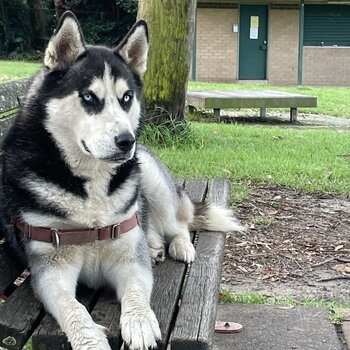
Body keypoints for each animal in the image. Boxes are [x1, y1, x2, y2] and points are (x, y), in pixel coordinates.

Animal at [1, 10, 242, 350]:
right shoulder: (50, 269)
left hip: (152, 179)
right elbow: (72, 307)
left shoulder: (129, 259)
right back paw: (154, 246)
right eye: (89, 97)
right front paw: (90, 340)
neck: (91, 187)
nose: (127, 141)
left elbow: (137, 293)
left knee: (178, 224)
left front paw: (140, 323)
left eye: (126, 98)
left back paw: (179, 246)